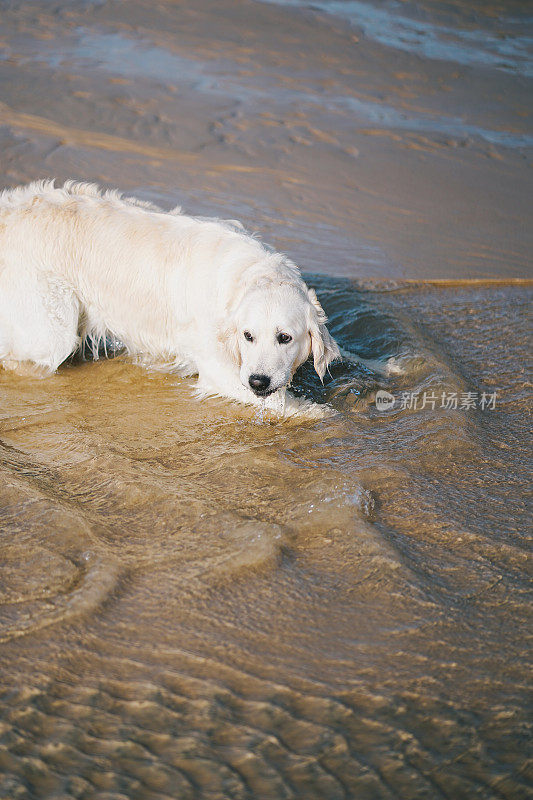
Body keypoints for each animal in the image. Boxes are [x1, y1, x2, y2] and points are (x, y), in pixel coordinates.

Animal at [0, 180, 338, 416]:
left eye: (285, 337)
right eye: (248, 335)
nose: (258, 381)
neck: (248, 275)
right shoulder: (219, 367)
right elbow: (295, 407)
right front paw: (322, 414)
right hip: (49, 328)